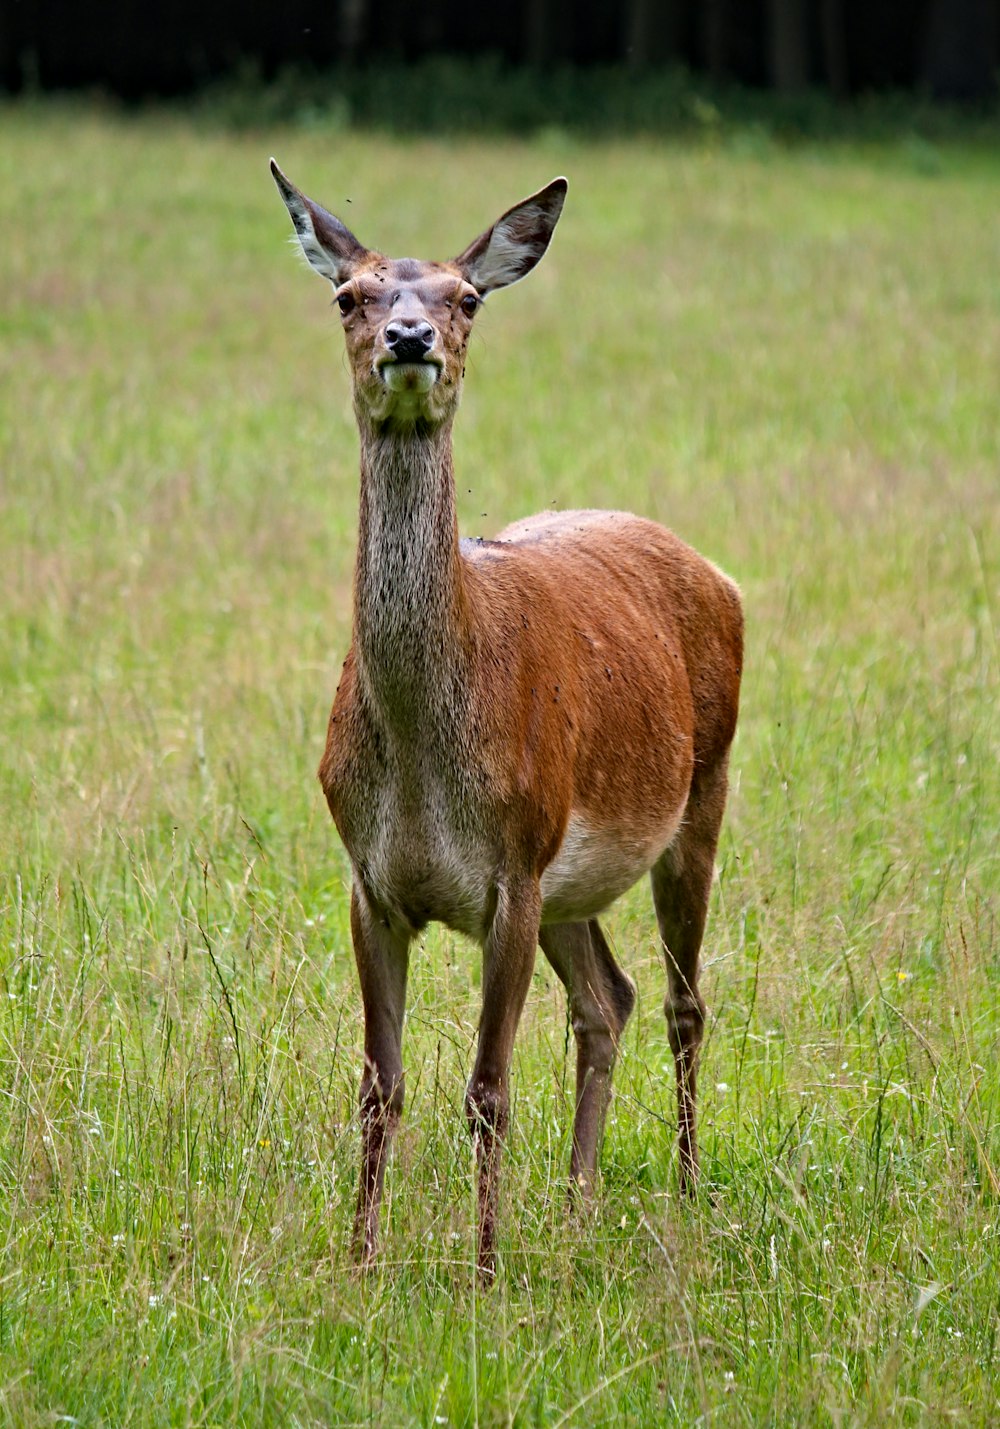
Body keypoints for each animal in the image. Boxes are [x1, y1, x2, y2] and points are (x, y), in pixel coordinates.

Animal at [271, 162, 742, 1280]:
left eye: (467, 298)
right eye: (347, 294)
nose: (409, 338)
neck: (421, 761)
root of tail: (718, 573)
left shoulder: (513, 870)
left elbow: (486, 1092)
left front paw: (483, 1273)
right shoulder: (369, 879)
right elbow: (378, 1086)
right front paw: (359, 1262)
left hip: (699, 791)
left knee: (683, 1000)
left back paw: (684, 1186)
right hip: (574, 881)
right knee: (607, 999)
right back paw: (576, 1203)